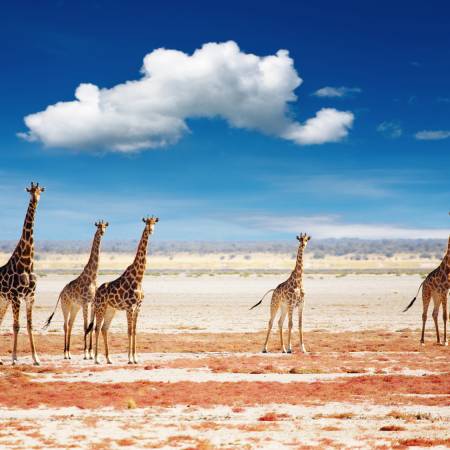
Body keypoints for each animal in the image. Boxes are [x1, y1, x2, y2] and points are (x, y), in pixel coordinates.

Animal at [43, 221, 109, 358]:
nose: (102, 232)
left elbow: (91, 326)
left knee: (70, 324)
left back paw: (69, 352)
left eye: (105, 226)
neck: (92, 277)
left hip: (75, 307)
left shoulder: (93, 303)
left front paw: (90, 352)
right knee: (65, 325)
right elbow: (85, 326)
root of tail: (61, 293)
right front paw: (86, 353)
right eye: (98, 227)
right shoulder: (85, 302)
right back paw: (65, 353)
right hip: (66, 305)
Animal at [86, 216, 158, 364]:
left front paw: (135, 358)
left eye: (154, 223)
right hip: (101, 308)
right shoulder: (129, 307)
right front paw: (130, 359)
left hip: (110, 309)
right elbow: (129, 331)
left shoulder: (138, 307)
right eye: (146, 223)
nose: (151, 230)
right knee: (97, 328)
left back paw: (109, 359)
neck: (139, 278)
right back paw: (96, 359)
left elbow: (134, 331)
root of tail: (96, 294)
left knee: (104, 329)